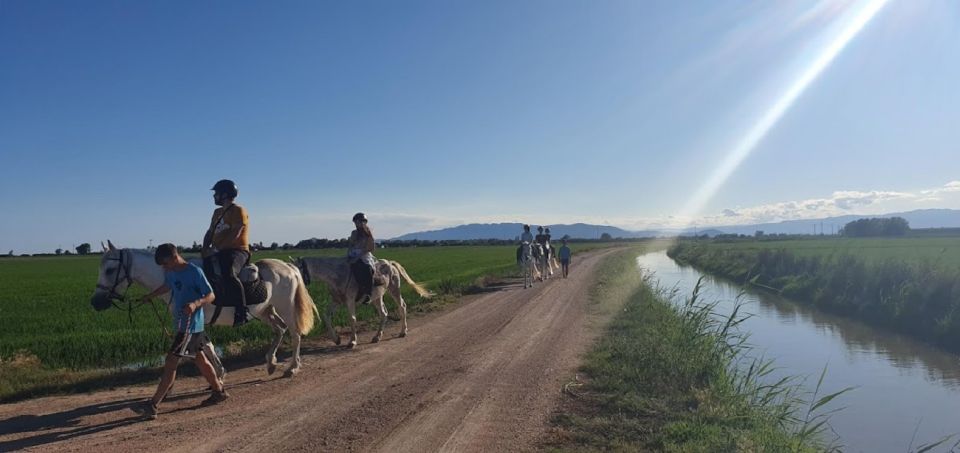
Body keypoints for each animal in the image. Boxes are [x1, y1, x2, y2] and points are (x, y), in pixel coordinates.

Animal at [90, 242, 316, 376]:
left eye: (110, 270)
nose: (95, 302)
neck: (176, 279)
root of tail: (289, 268)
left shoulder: (191, 320)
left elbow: (200, 347)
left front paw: (217, 375)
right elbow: (206, 346)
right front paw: (218, 373)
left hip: (285, 307)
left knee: (295, 334)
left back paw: (292, 367)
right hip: (265, 310)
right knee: (280, 329)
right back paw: (271, 363)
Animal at [292, 256, 428, 348]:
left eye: (297, 271)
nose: (295, 287)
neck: (338, 274)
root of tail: (390, 263)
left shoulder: (350, 301)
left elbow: (352, 319)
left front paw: (352, 341)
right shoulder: (336, 301)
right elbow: (327, 316)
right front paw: (336, 339)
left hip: (394, 290)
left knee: (402, 306)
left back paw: (403, 332)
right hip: (377, 298)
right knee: (383, 314)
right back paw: (377, 337)